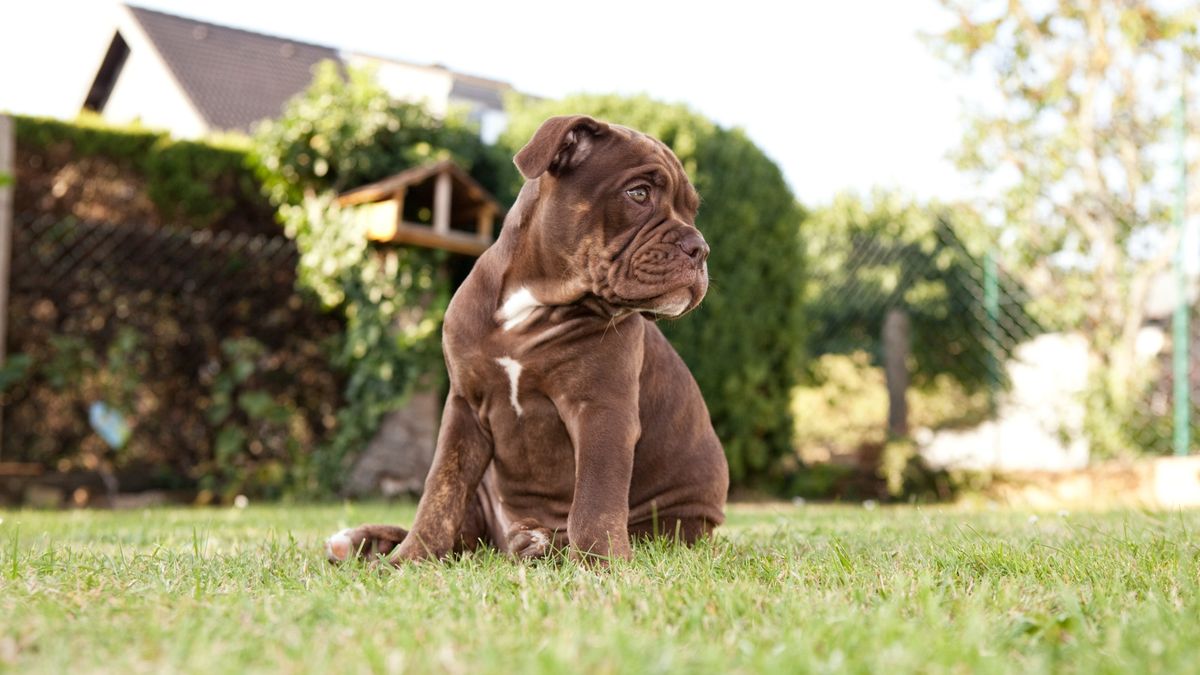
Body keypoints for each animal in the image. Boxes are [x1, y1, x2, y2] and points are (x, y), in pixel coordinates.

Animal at [324, 114, 724, 562]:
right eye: (638, 193)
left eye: (692, 210)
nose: (700, 248)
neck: (534, 301)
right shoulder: (463, 408)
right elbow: (441, 490)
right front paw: (411, 558)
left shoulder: (602, 410)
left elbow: (596, 497)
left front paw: (601, 563)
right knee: (465, 533)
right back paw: (365, 541)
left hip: (675, 525)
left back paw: (537, 543)